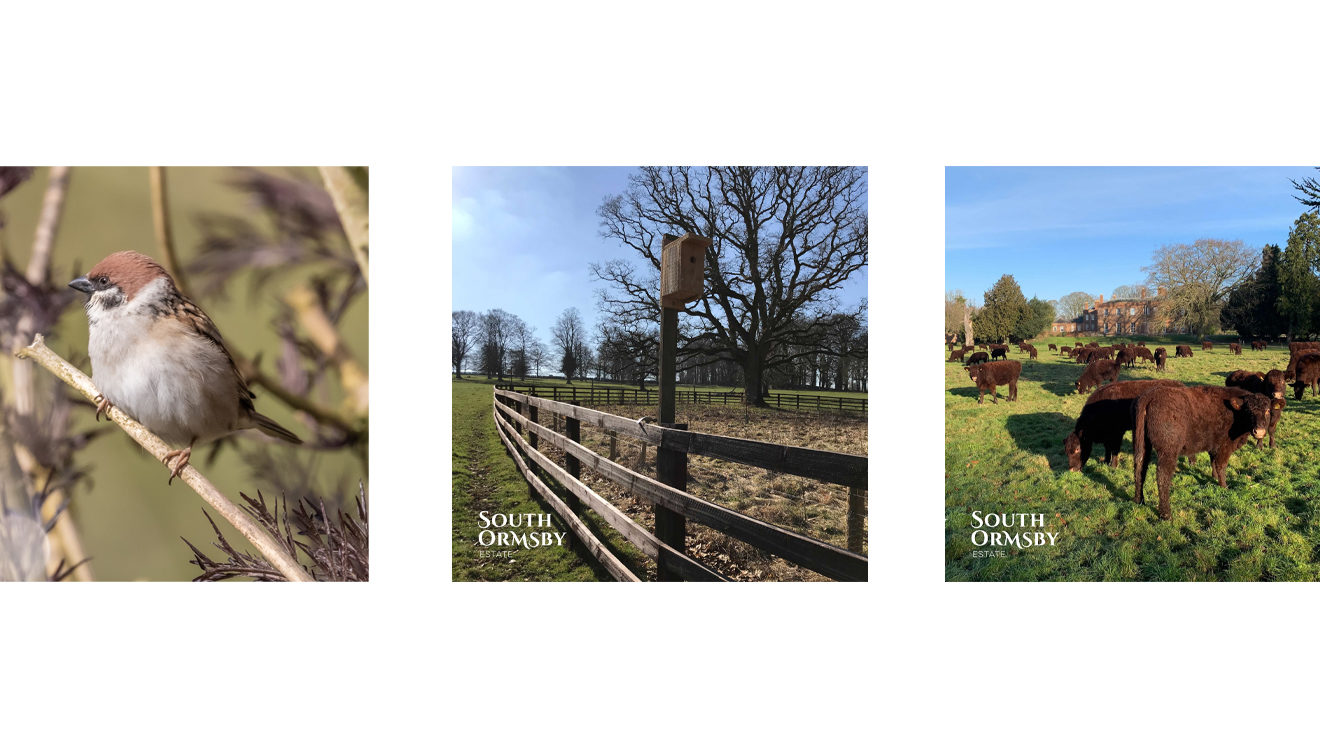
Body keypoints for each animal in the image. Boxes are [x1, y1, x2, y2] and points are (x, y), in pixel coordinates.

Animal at [1135, 385, 1277, 519]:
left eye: (1267, 410)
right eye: (1249, 410)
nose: (1259, 431)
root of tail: (1151, 395)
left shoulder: (1213, 446)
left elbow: (1213, 462)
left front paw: (1213, 477)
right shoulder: (1225, 446)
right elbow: (1221, 466)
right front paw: (1224, 486)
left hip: (1143, 445)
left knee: (1139, 468)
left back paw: (1139, 500)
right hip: (1168, 452)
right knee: (1162, 477)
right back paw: (1166, 514)